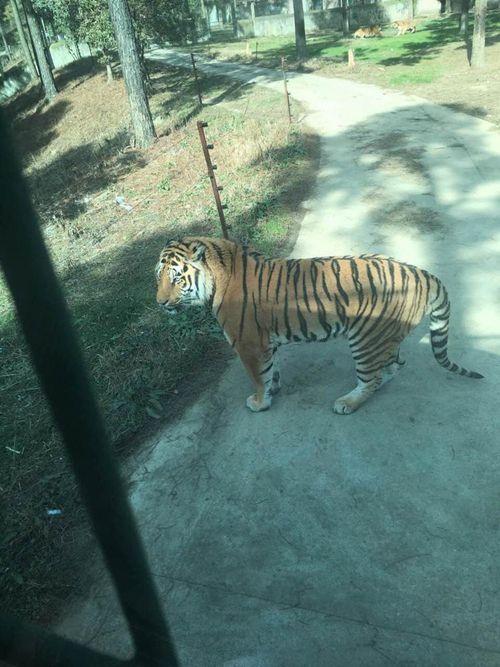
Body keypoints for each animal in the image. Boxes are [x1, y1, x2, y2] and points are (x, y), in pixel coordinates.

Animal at [155, 237, 482, 414]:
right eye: (158, 276)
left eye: (176, 278)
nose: (159, 302)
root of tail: (421, 273)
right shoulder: (265, 343)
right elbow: (271, 371)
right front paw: (274, 390)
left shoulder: (248, 343)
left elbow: (258, 377)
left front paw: (260, 402)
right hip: (384, 335)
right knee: (391, 368)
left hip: (364, 339)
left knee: (373, 377)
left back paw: (347, 403)